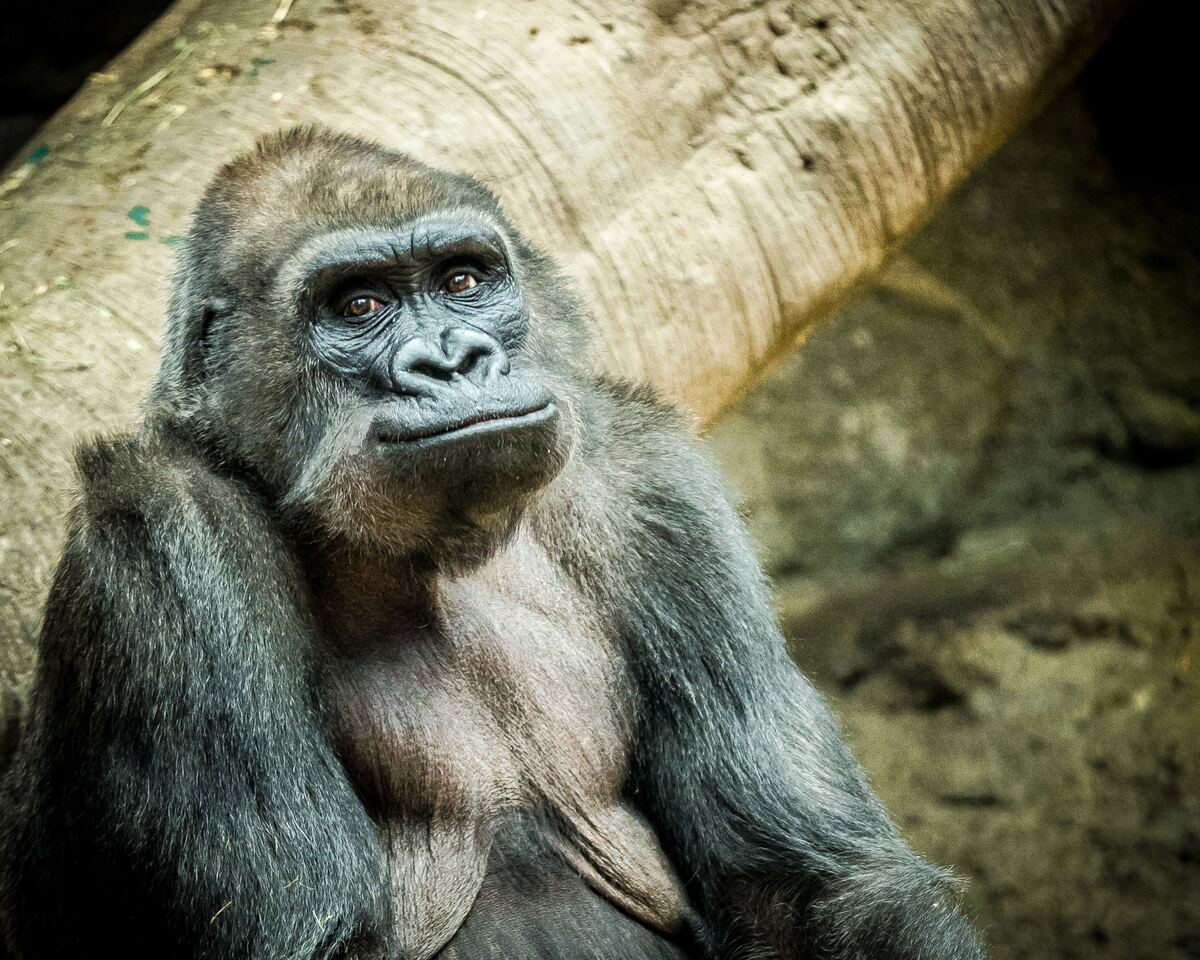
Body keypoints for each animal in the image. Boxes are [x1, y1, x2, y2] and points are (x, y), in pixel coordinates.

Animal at [0, 127, 985, 960]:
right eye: (358, 304)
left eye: (465, 282)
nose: (455, 360)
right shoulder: (166, 537)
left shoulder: (652, 482)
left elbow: (816, 888)